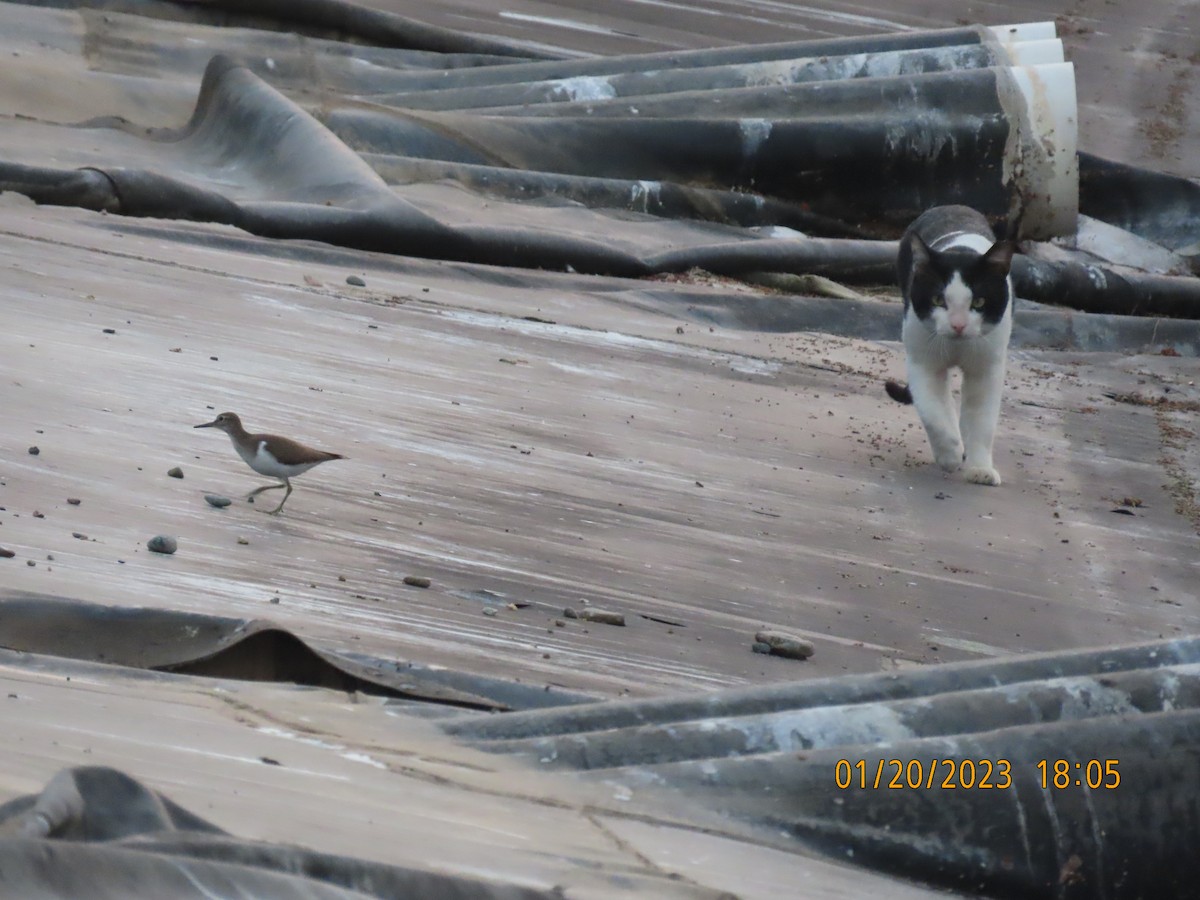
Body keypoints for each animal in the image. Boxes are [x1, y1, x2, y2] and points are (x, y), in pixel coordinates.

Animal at [888, 206, 1017, 487]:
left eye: (979, 302)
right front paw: (950, 455)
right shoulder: (923, 362)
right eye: (938, 300)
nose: (958, 325)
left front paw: (980, 469)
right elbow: (934, 413)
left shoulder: (986, 369)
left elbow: (981, 421)